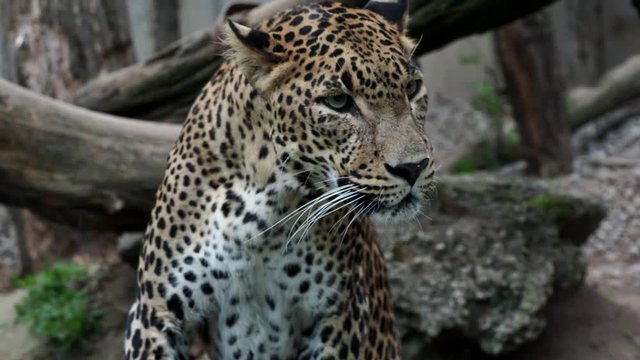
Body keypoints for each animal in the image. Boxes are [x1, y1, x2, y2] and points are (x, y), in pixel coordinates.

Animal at [124, 1, 436, 358]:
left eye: (412, 88)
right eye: (339, 101)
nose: (413, 167)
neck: (262, 213)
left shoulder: (343, 317)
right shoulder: (154, 316)